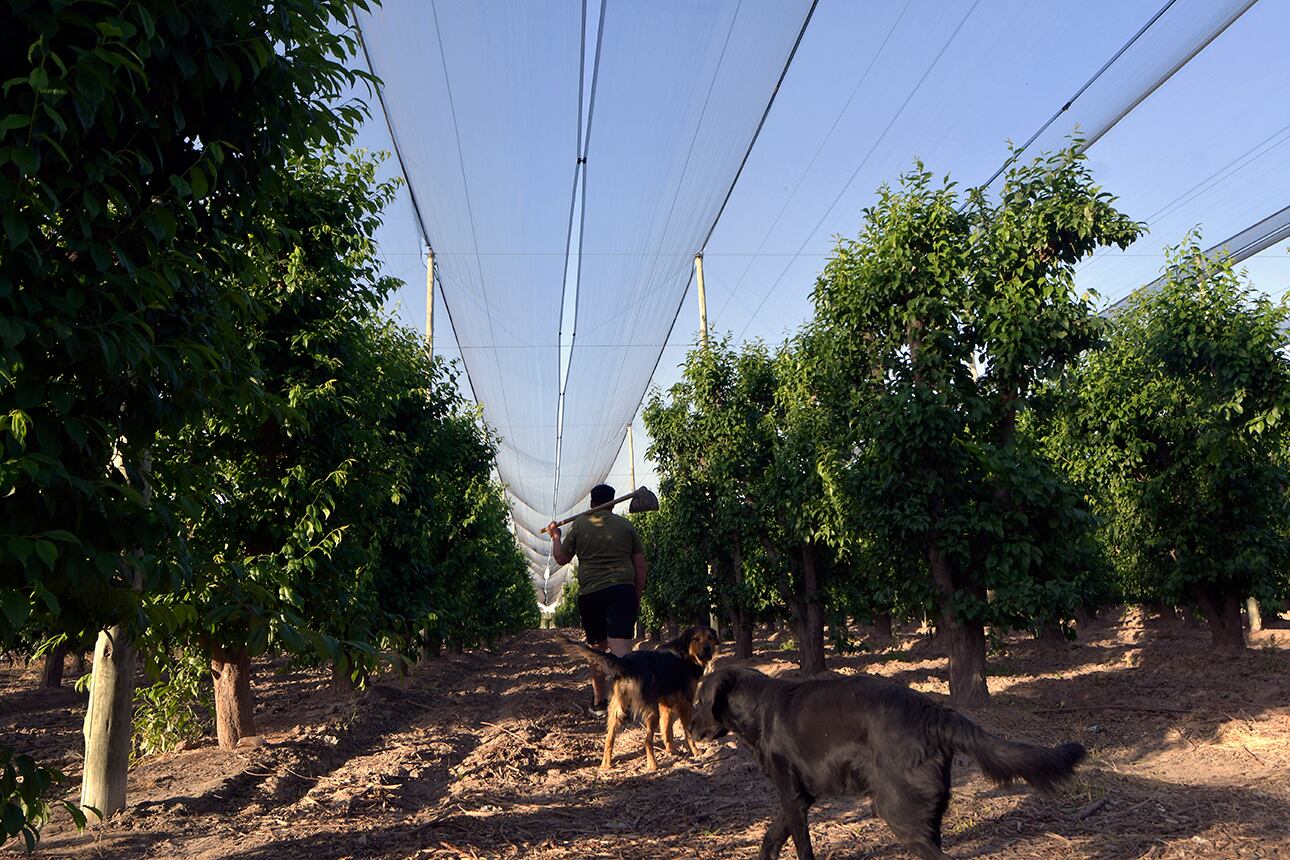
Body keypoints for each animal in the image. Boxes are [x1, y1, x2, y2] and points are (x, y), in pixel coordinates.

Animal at [559, 626, 722, 773]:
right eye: (696, 639)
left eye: (710, 638)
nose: (708, 649)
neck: (685, 653)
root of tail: (626, 663)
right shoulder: (685, 704)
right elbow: (688, 733)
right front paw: (696, 752)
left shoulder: (666, 705)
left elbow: (667, 731)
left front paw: (671, 751)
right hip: (652, 712)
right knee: (646, 740)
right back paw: (653, 765)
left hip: (617, 709)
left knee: (609, 739)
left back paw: (605, 765)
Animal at [691, 670, 1083, 860]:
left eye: (698, 701)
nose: (690, 729)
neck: (761, 709)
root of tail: (933, 713)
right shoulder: (798, 797)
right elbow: (771, 837)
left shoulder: (793, 798)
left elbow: (801, 848)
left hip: (900, 814)